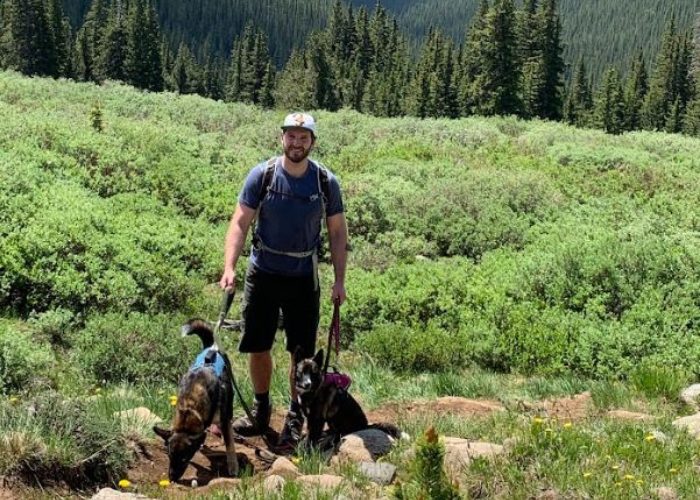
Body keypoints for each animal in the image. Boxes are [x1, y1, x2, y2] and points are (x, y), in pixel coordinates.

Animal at [153, 320, 238, 480]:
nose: (172, 478)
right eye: (169, 456)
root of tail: (211, 347)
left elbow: (230, 444)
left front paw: (233, 467)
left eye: (184, 458)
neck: (189, 409)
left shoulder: (223, 419)